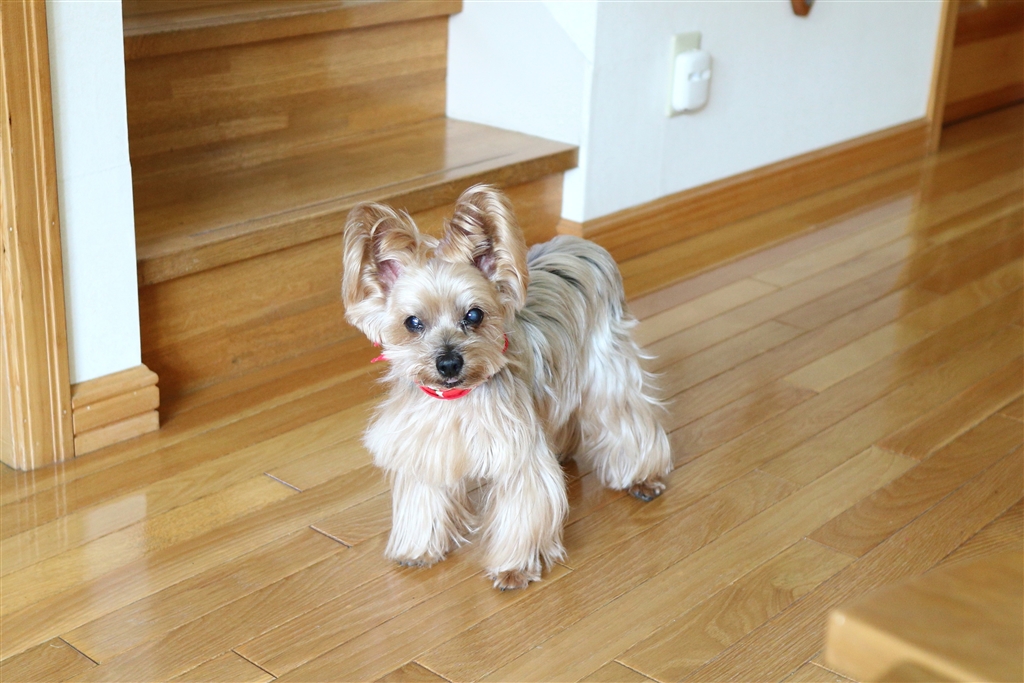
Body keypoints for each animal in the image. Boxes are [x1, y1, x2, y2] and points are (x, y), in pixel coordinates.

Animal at [342, 185, 671, 590]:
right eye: (412, 323)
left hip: (606, 363)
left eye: (474, 315)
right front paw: (419, 550)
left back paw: (645, 477)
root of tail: (583, 243)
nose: (448, 363)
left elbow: (524, 506)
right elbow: (424, 498)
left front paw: (514, 568)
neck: (455, 398)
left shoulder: (519, 451)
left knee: (627, 416)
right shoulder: (424, 445)